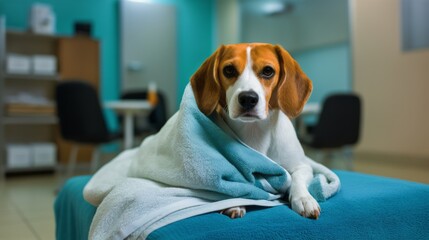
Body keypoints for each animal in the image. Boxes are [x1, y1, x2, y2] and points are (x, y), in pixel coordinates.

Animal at [190, 42, 320, 219]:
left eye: (268, 71)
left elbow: (297, 179)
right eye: (229, 70)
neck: (254, 130)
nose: (248, 98)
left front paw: (304, 199)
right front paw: (235, 203)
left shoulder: (302, 166)